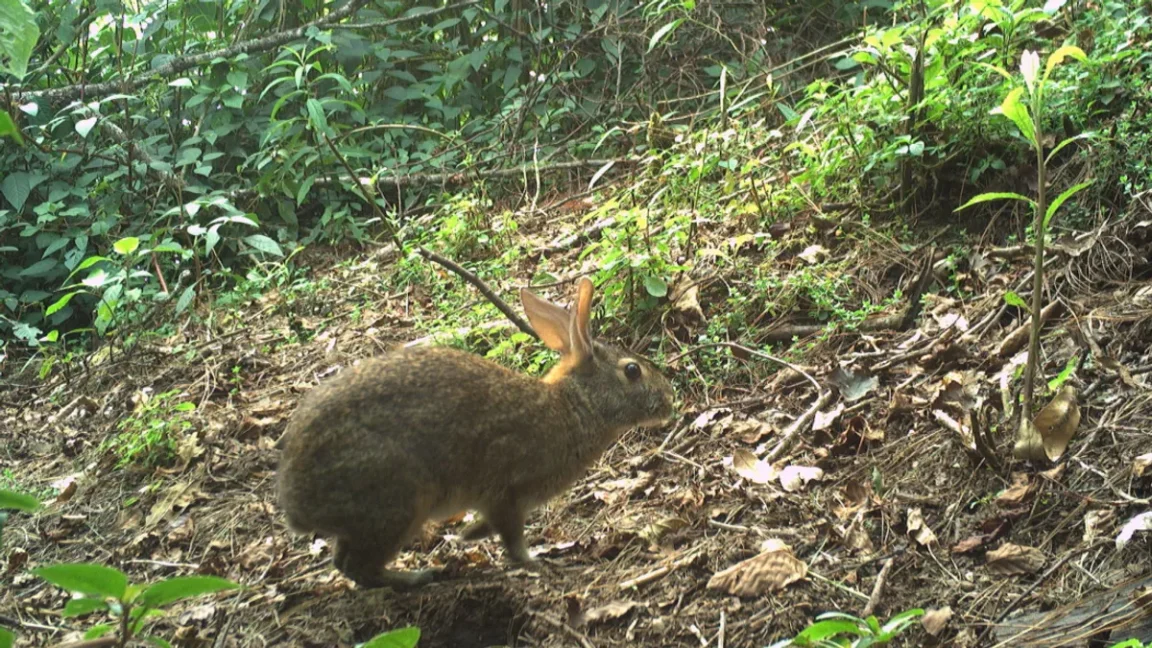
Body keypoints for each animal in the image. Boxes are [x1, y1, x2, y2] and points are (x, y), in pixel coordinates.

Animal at [276, 277, 677, 590]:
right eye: (632, 371)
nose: (669, 400)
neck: (574, 406)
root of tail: (297, 502)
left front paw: (468, 535)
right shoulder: (509, 492)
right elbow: (512, 538)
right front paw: (535, 561)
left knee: (344, 562)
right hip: (399, 501)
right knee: (357, 565)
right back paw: (417, 577)